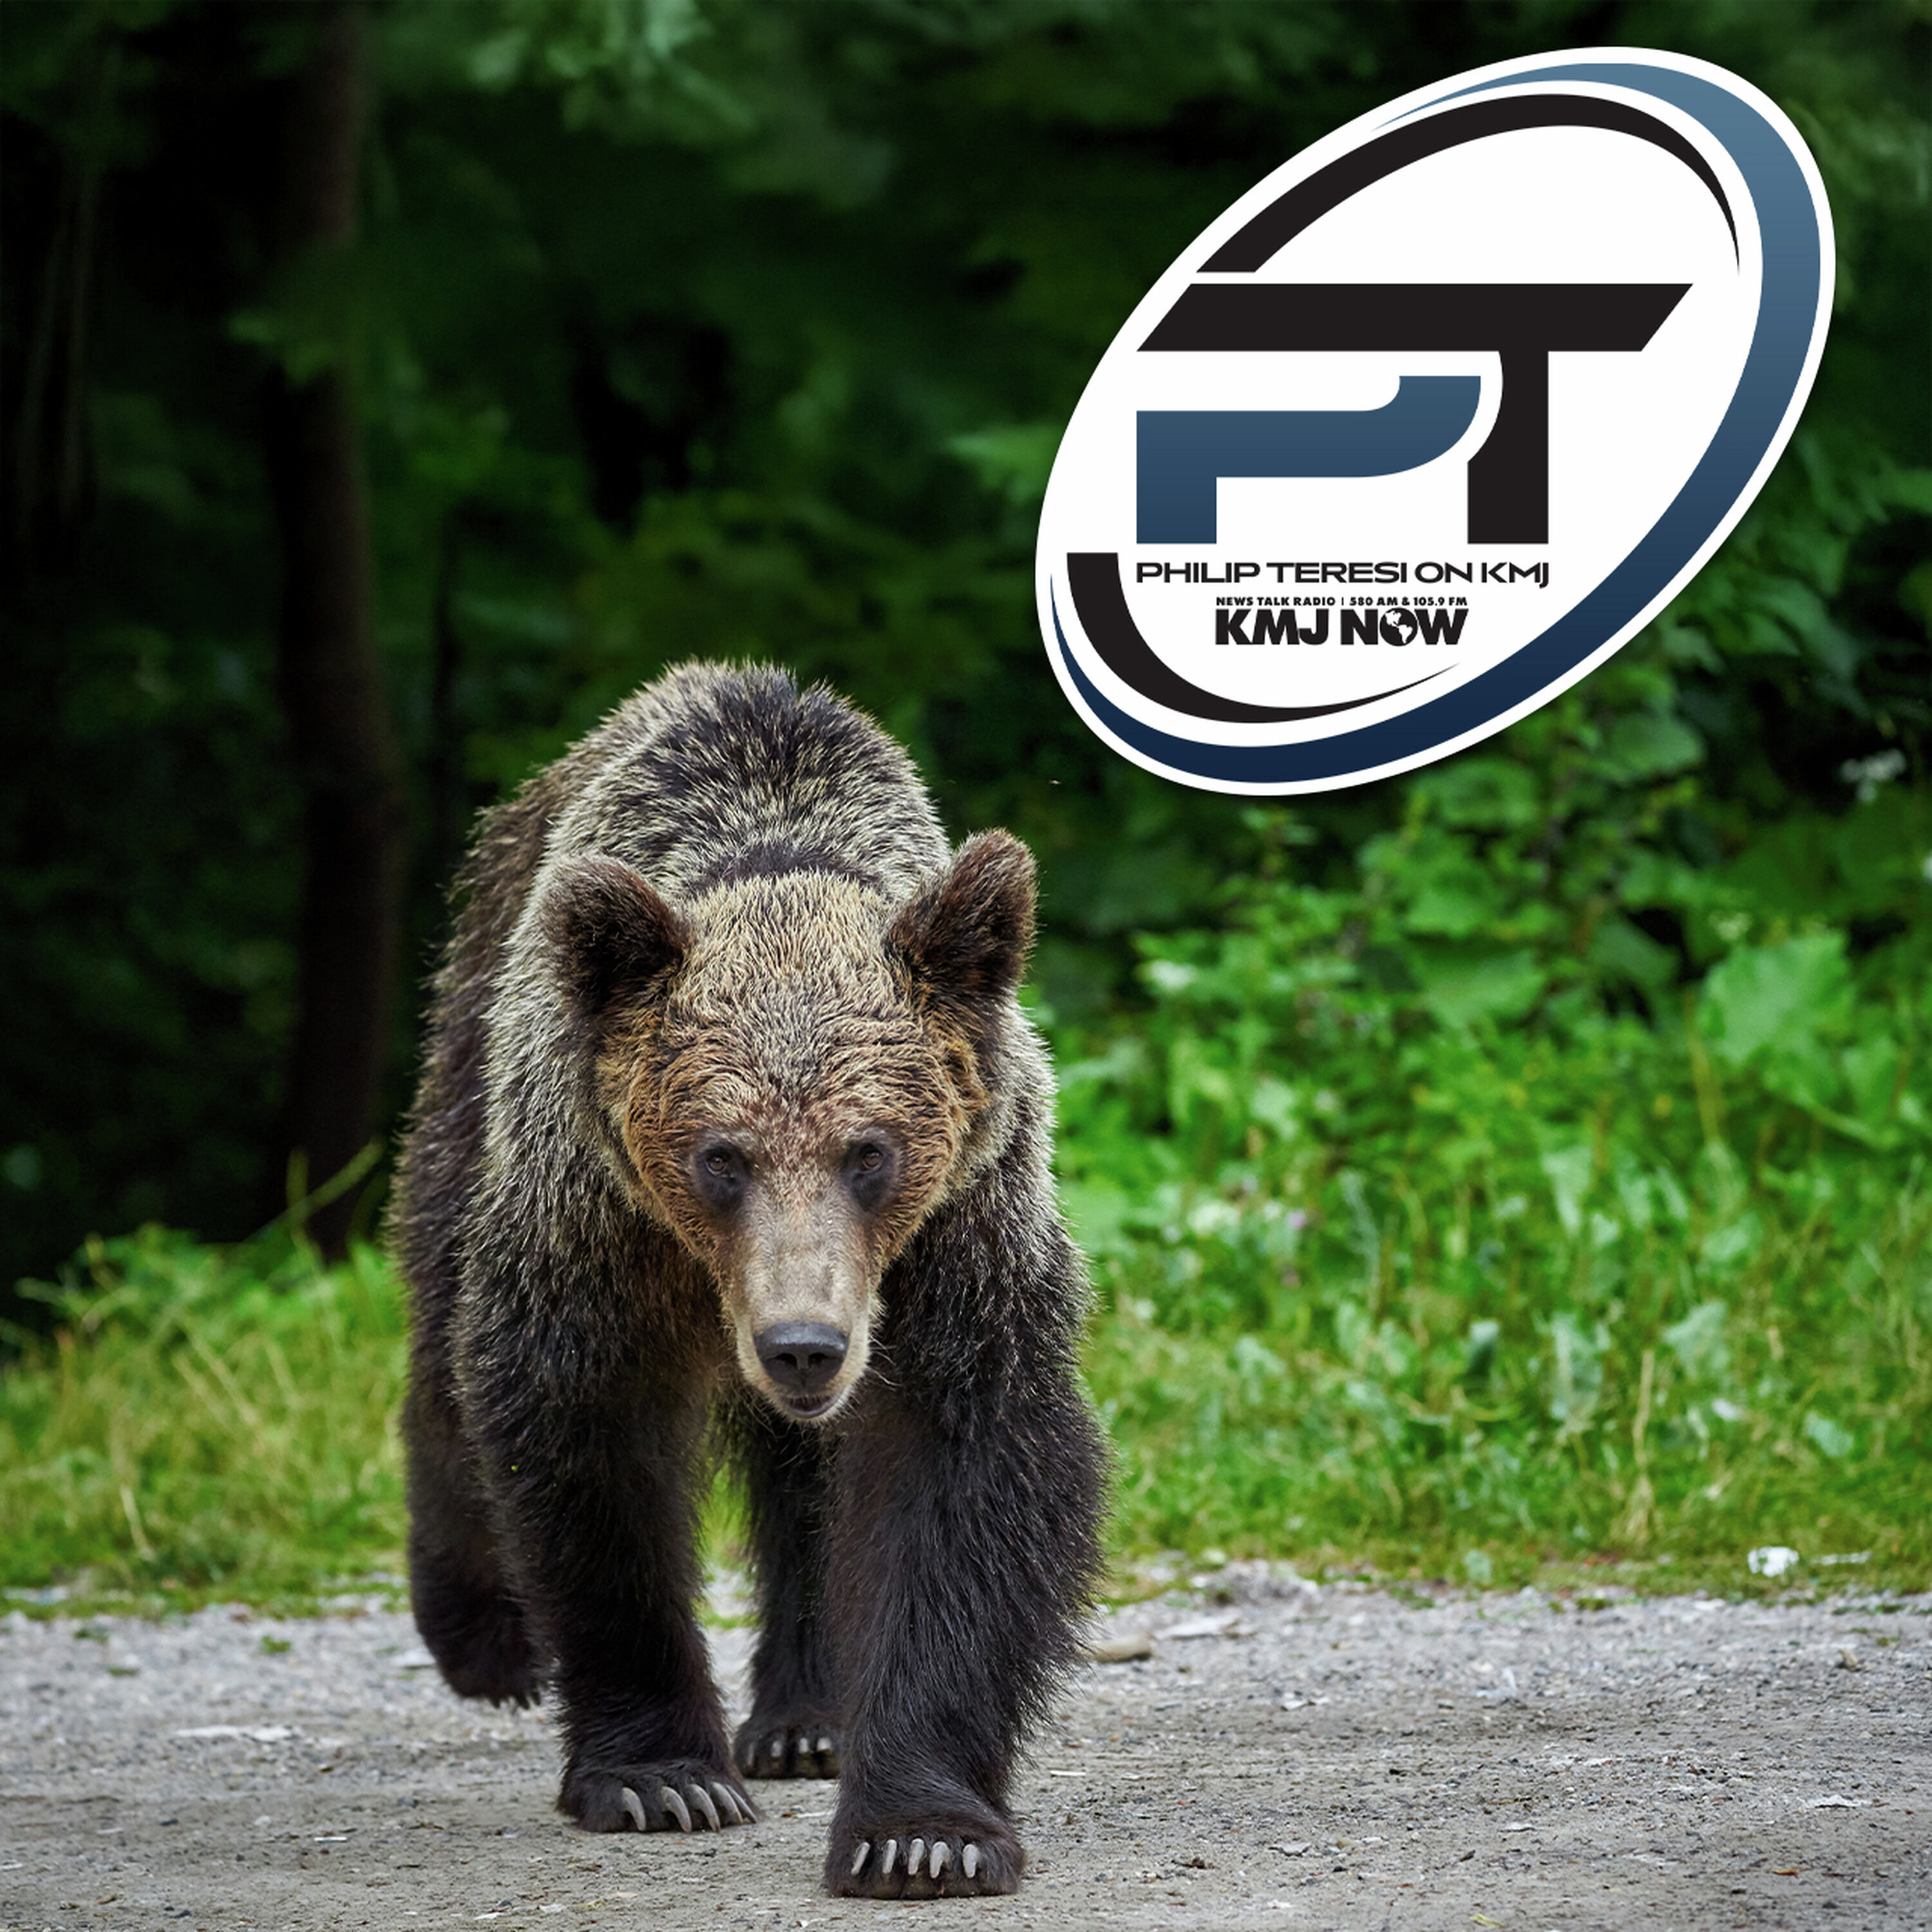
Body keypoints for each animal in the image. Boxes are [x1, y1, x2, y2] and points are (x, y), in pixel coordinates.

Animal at [389, 661, 1106, 1899]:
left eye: (870, 1151)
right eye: (720, 1156)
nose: (802, 1346)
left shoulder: (956, 1239)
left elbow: (959, 1472)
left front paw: (921, 1830)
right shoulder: (599, 1222)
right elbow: (589, 1447)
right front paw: (661, 1775)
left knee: (807, 1482)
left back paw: (810, 1718)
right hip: (470, 1081)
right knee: (444, 1332)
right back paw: (483, 1636)